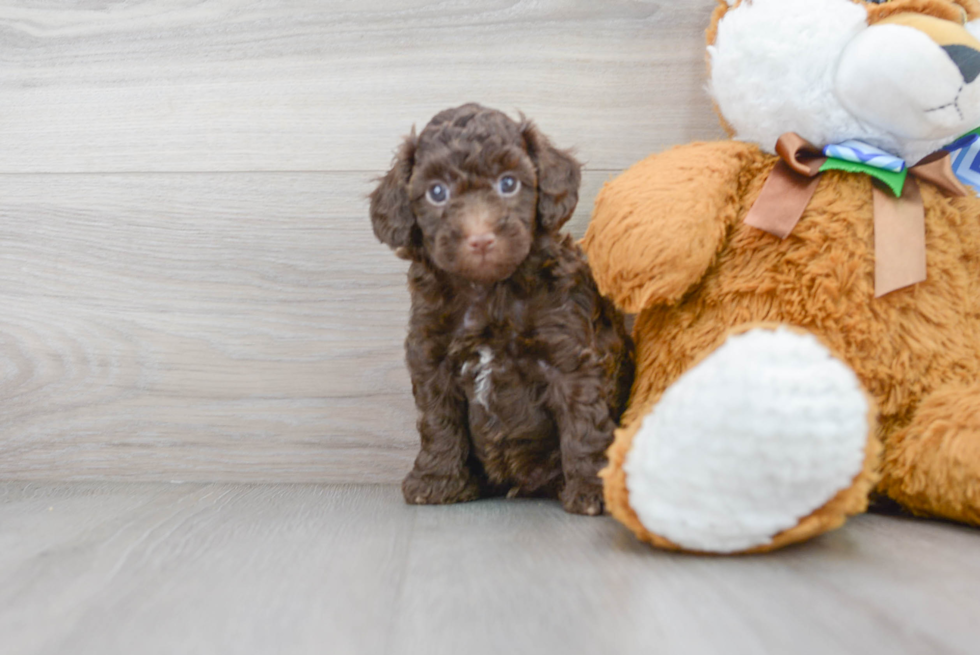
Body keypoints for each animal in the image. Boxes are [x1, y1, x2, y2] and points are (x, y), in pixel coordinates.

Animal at [370, 102, 636, 516]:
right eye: (436, 192)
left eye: (508, 183)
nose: (480, 238)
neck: (487, 291)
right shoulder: (431, 358)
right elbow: (438, 422)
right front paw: (436, 481)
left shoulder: (568, 356)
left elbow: (582, 422)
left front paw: (593, 489)